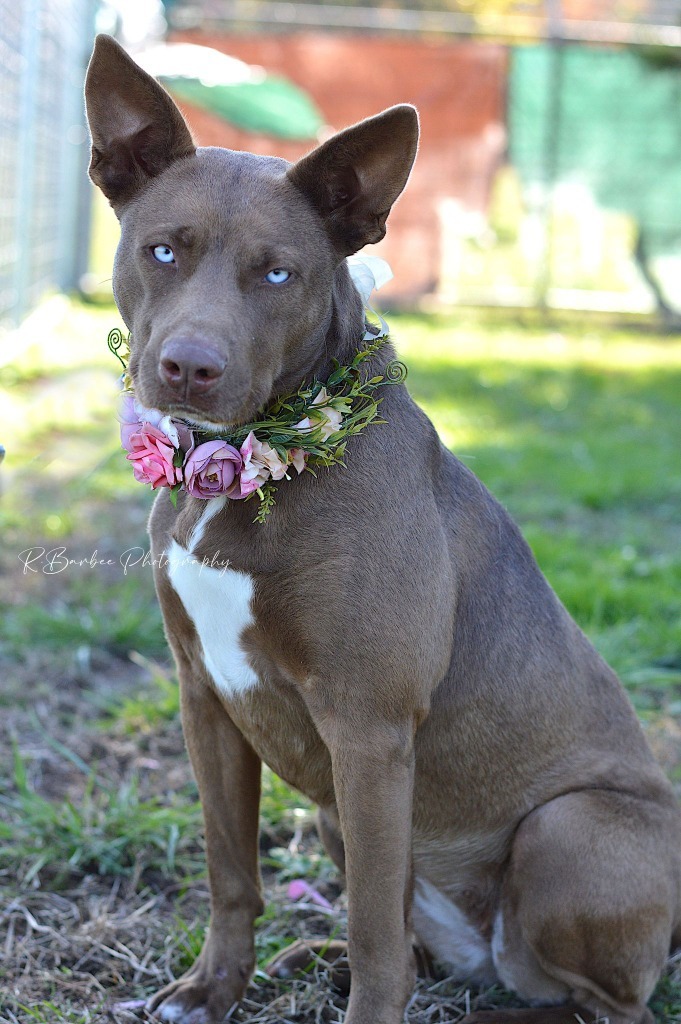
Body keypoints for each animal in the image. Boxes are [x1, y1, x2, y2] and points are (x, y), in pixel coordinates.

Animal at [84, 34, 679, 1024]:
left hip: (565, 827)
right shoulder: (204, 699)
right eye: (162, 250)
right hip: (340, 813)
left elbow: (372, 924)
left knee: (599, 997)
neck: (247, 471)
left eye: (277, 272)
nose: (188, 368)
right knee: (426, 947)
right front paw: (212, 990)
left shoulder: (367, 728)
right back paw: (327, 958)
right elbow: (230, 871)